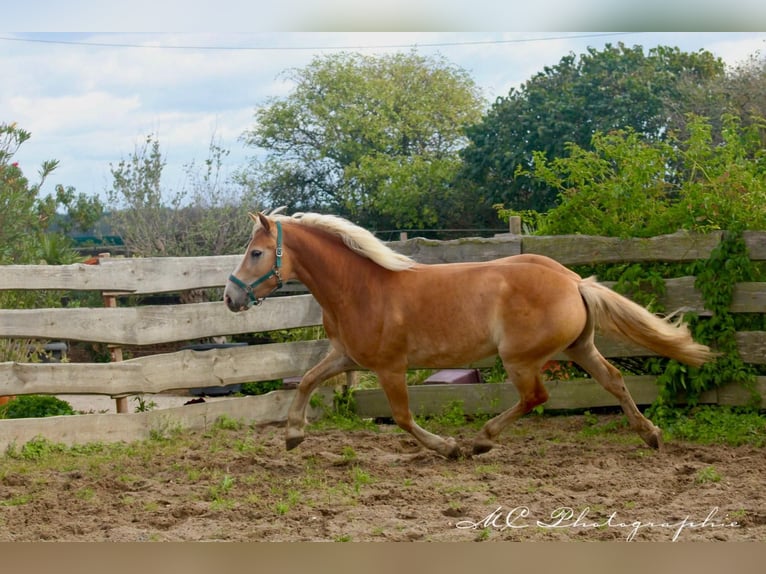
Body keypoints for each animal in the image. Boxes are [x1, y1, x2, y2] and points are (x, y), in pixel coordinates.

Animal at [224, 212, 720, 460]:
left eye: (256, 253)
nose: (230, 297)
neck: (361, 288)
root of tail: (573, 280)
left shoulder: (390, 368)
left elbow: (403, 418)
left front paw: (448, 448)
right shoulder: (347, 357)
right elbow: (307, 381)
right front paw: (293, 435)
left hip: (520, 359)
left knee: (536, 397)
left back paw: (482, 440)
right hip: (580, 348)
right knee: (614, 381)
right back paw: (651, 436)